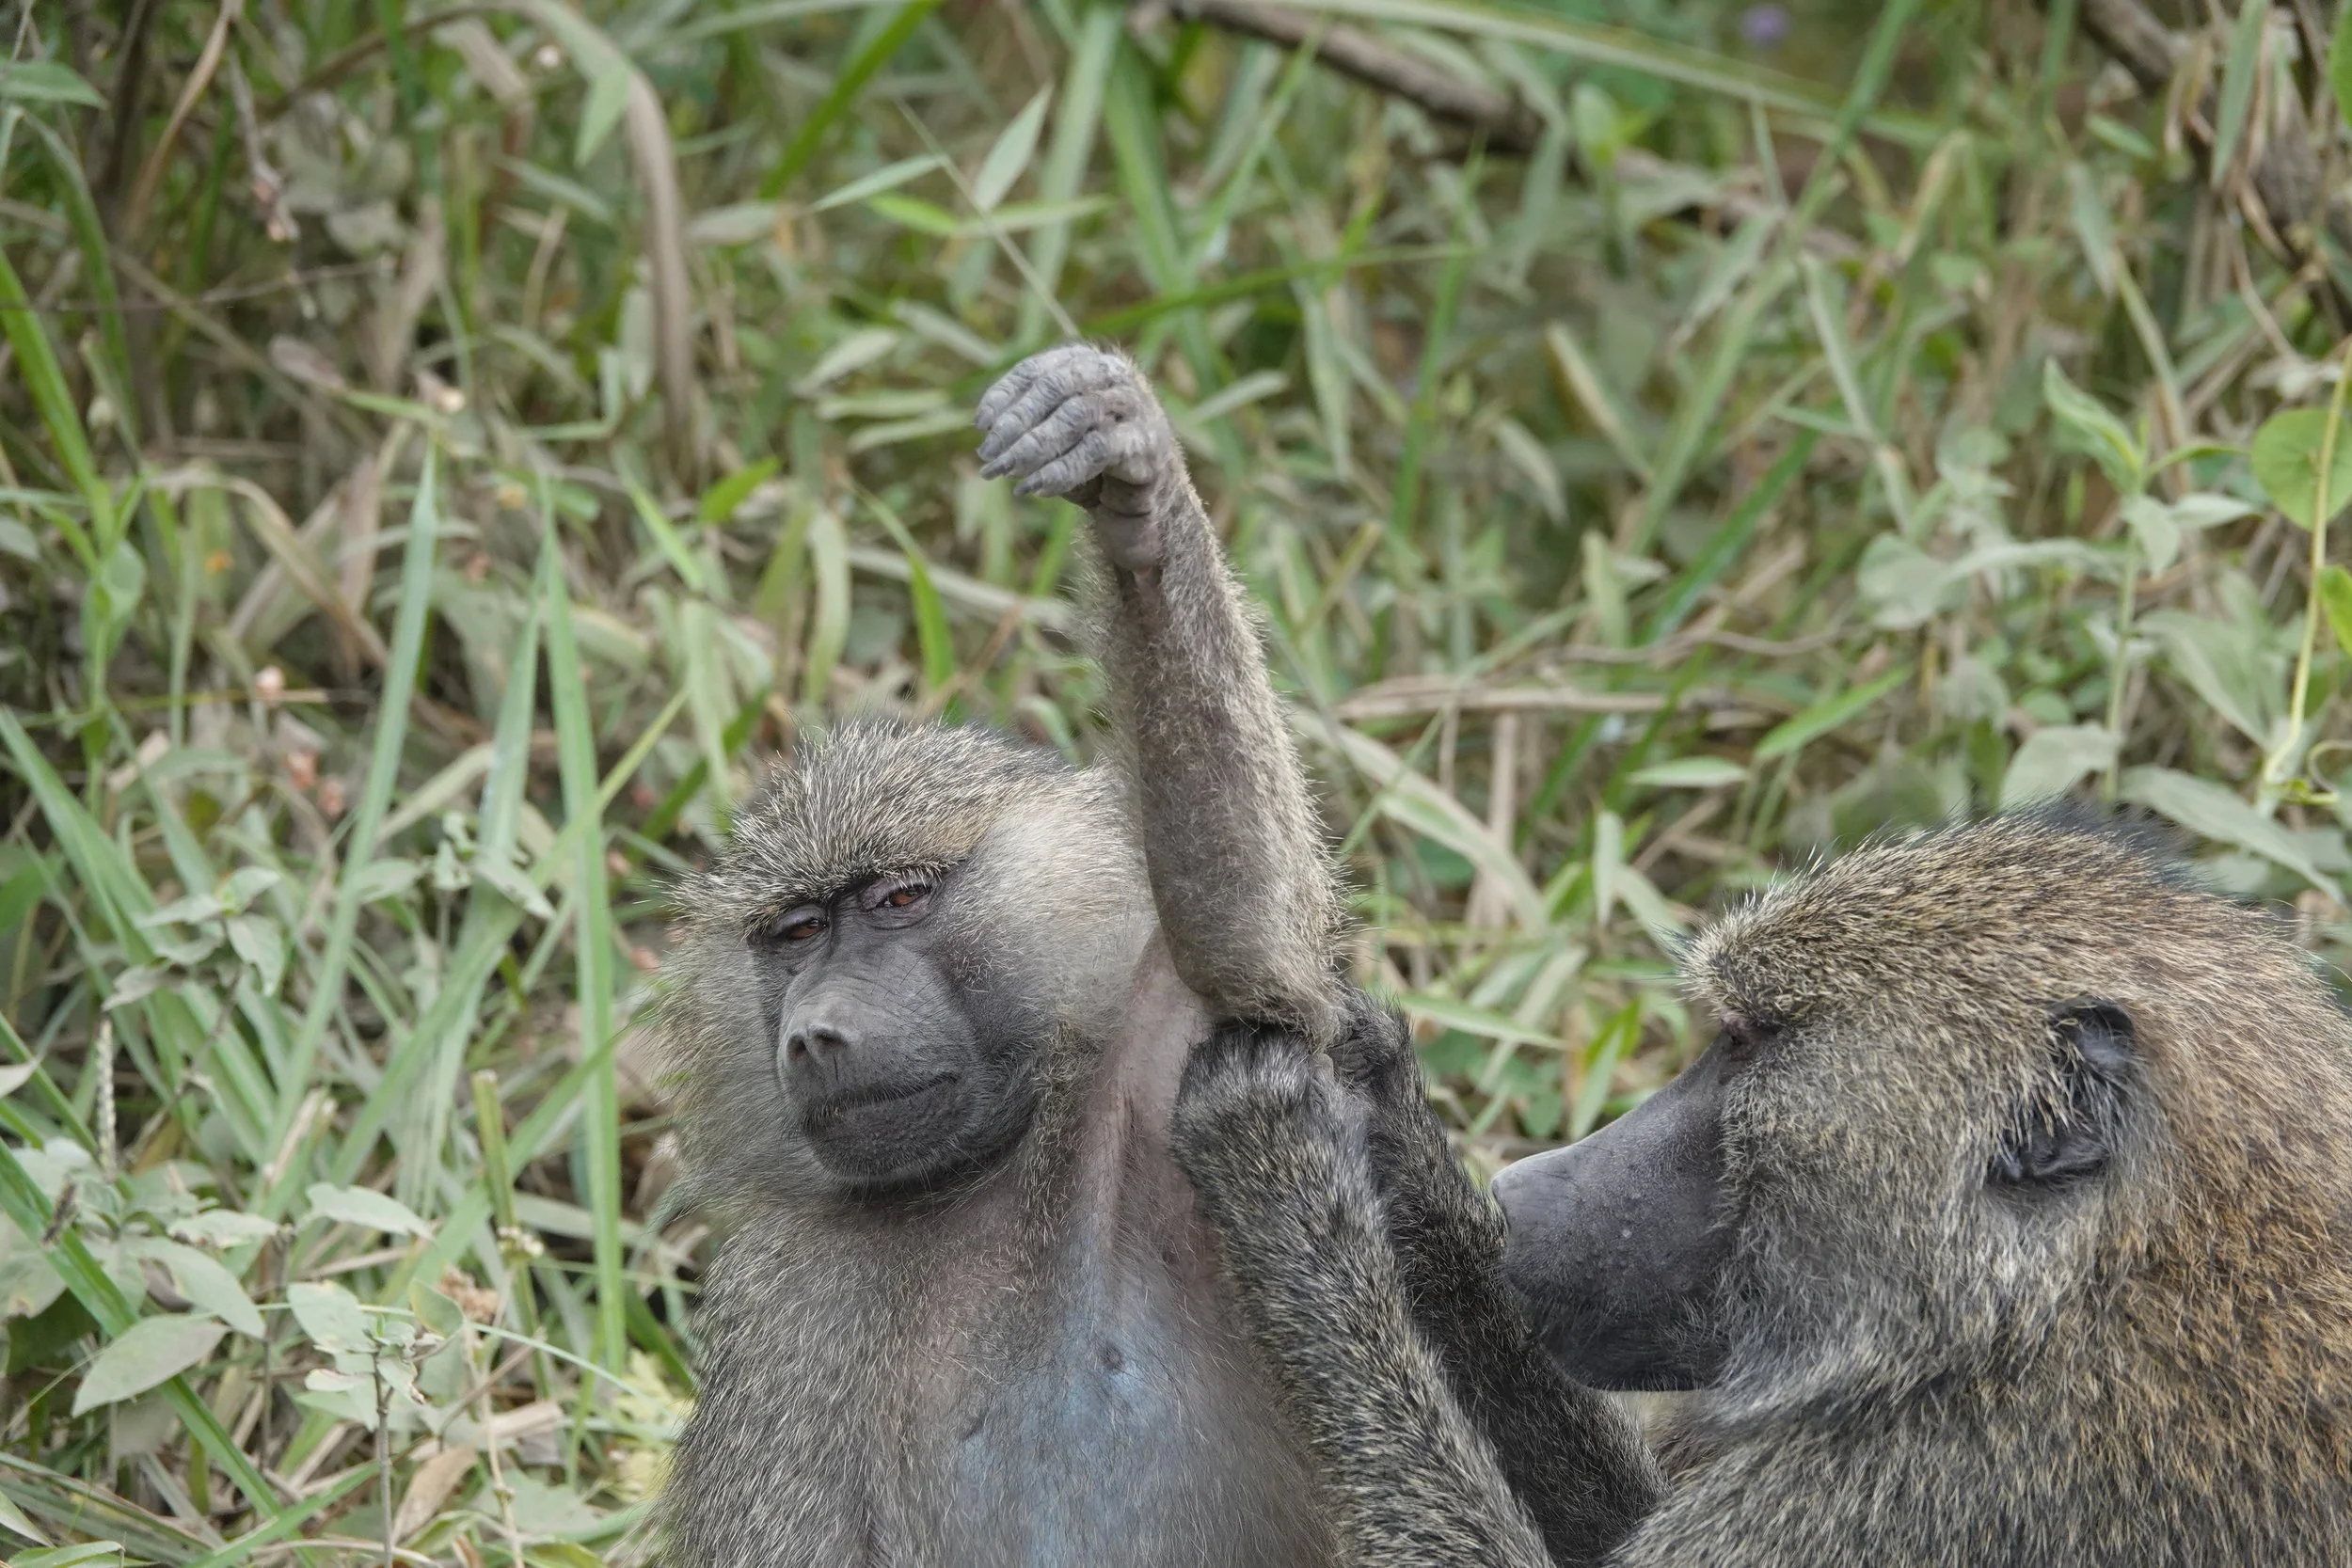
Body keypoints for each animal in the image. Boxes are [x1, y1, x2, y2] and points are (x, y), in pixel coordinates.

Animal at [656, 343, 1358, 1566]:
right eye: (796, 934)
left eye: (897, 897)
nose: (816, 1031)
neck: (965, 1181)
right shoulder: (777, 1309)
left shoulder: (1152, 1068)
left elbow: (1248, 947)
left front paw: (1129, 482)